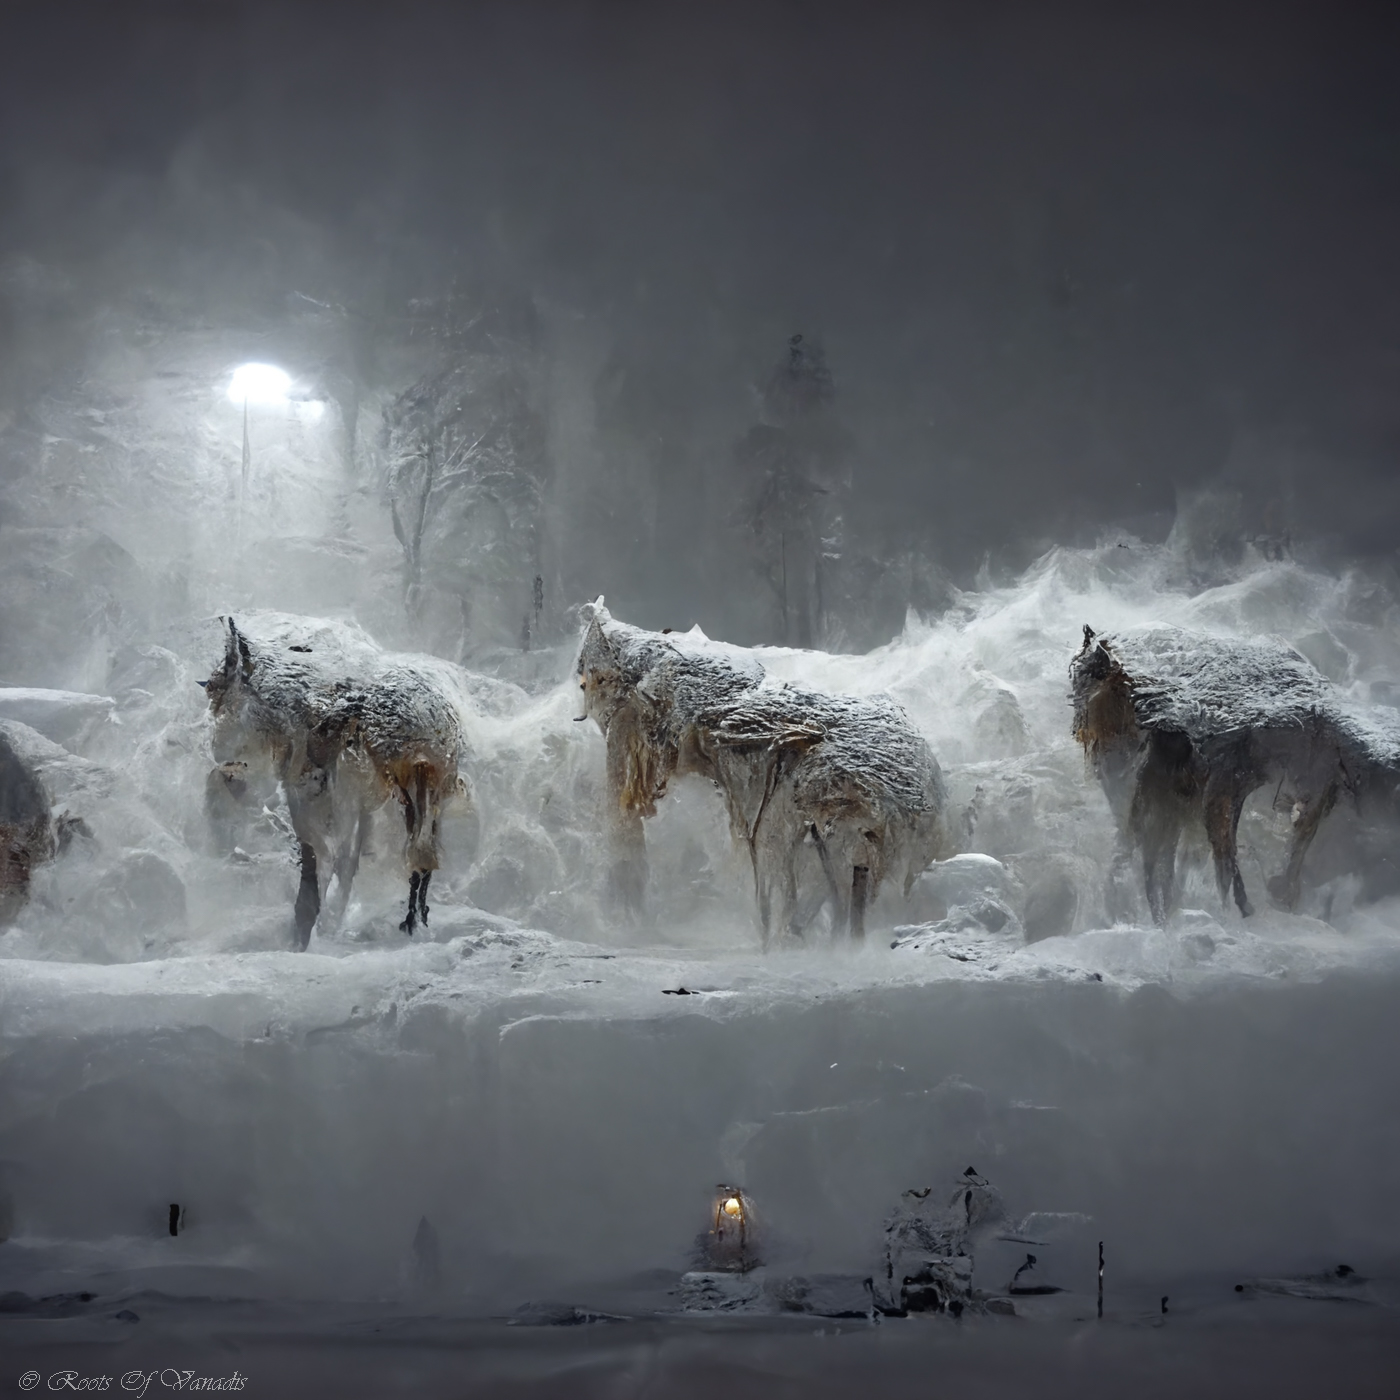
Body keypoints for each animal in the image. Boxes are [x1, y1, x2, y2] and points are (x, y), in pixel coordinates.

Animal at [202, 615, 467, 947]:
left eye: (216, 688)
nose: (216, 748)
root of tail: (422, 733)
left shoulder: (314, 797)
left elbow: (321, 864)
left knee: (348, 859)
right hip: (424, 797)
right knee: (422, 858)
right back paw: (411, 920)